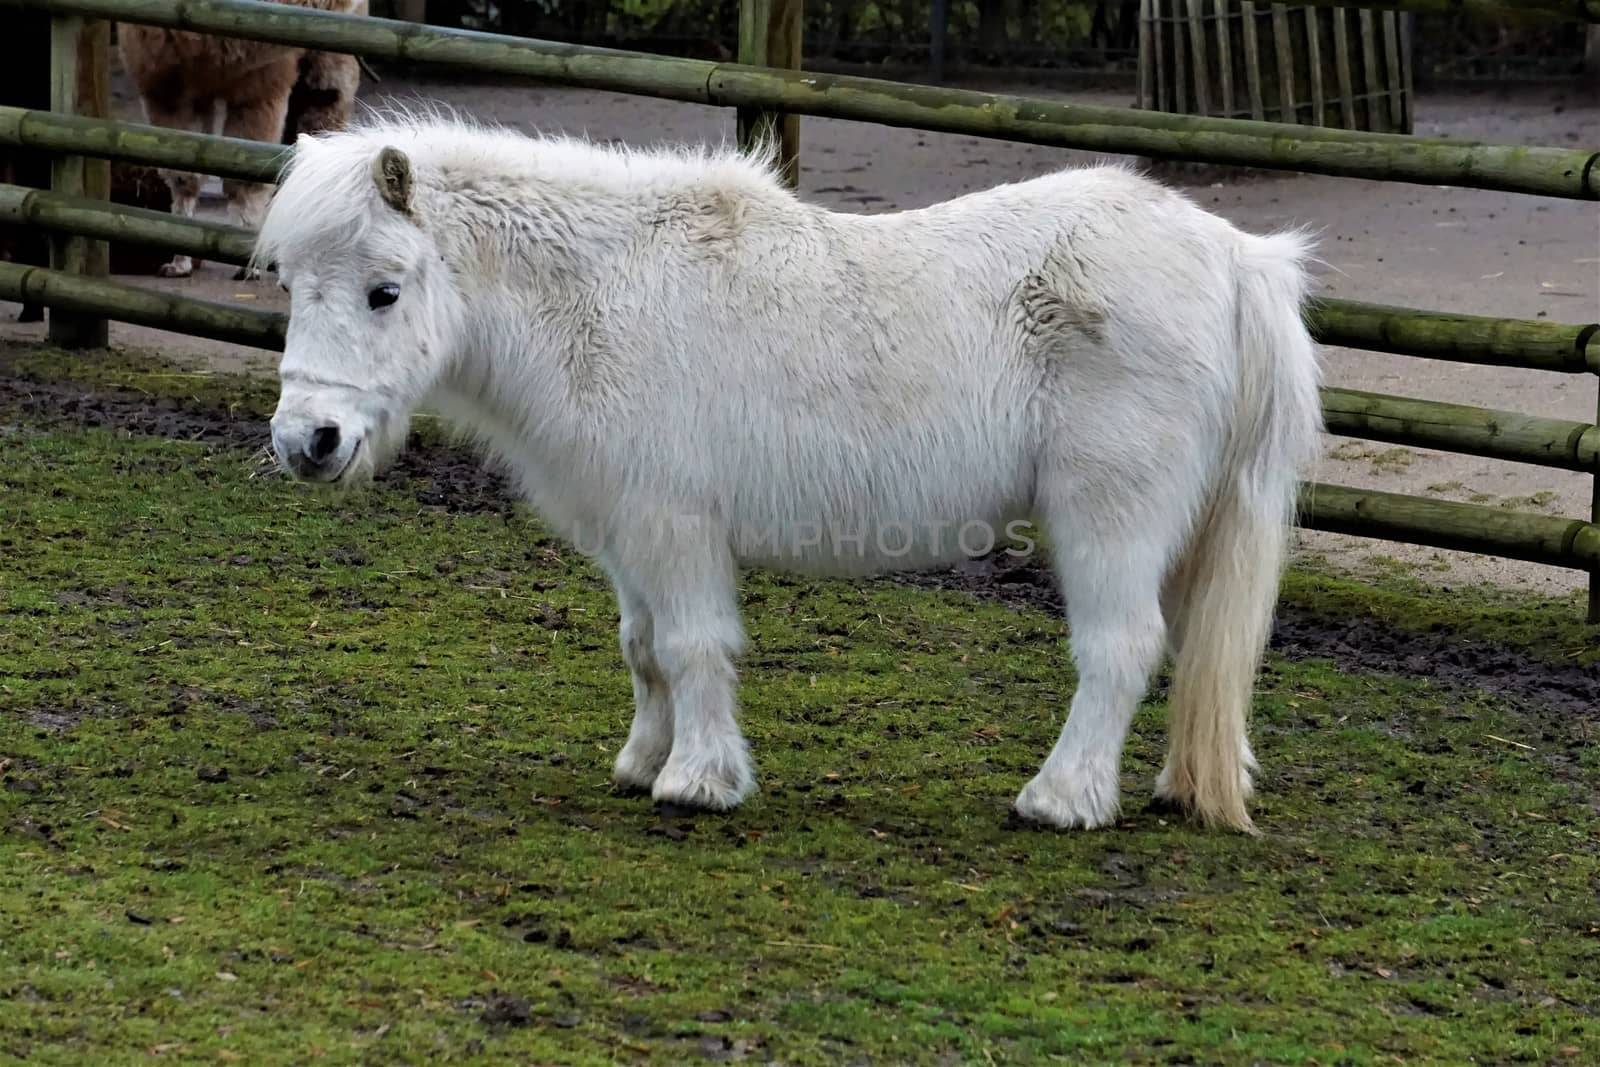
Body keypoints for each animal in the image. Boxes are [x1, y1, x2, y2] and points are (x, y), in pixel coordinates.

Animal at [256, 115, 1318, 831]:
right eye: (291, 282)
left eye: (383, 291)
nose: (308, 441)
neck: (601, 295)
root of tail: (1234, 257)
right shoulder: (629, 532)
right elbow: (643, 648)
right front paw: (642, 760)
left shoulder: (674, 523)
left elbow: (691, 645)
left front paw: (699, 780)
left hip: (1110, 518)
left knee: (1121, 647)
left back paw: (1061, 798)